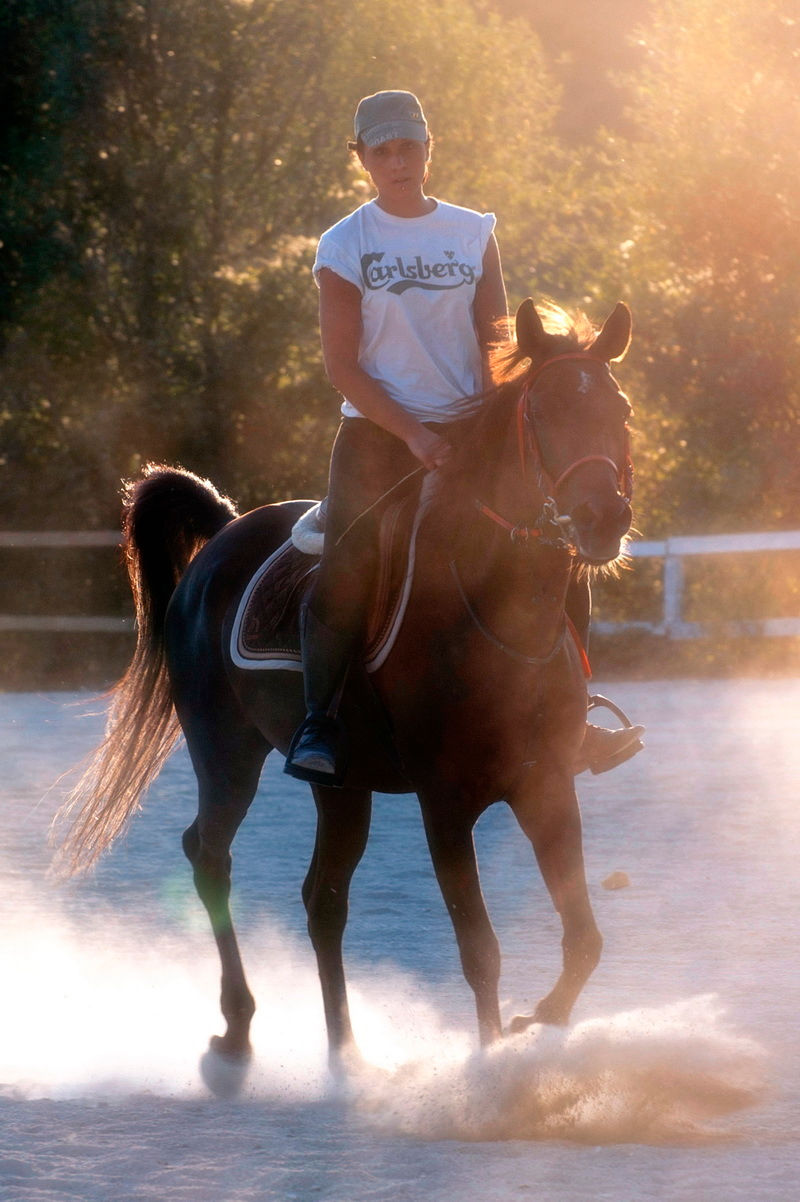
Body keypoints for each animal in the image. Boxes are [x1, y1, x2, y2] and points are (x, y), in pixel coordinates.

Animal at [56, 298, 635, 1070]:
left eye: (620, 411)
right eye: (543, 412)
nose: (605, 518)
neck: (490, 611)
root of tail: (225, 533)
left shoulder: (545, 784)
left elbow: (585, 939)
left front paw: (537, 1022)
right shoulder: (445, 802)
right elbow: (479, 949)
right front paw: (491, 1064)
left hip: (342, 784)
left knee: (323, 899)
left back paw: (345, 1053)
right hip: (225, 753)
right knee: (209, 857)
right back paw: (238, 1027)